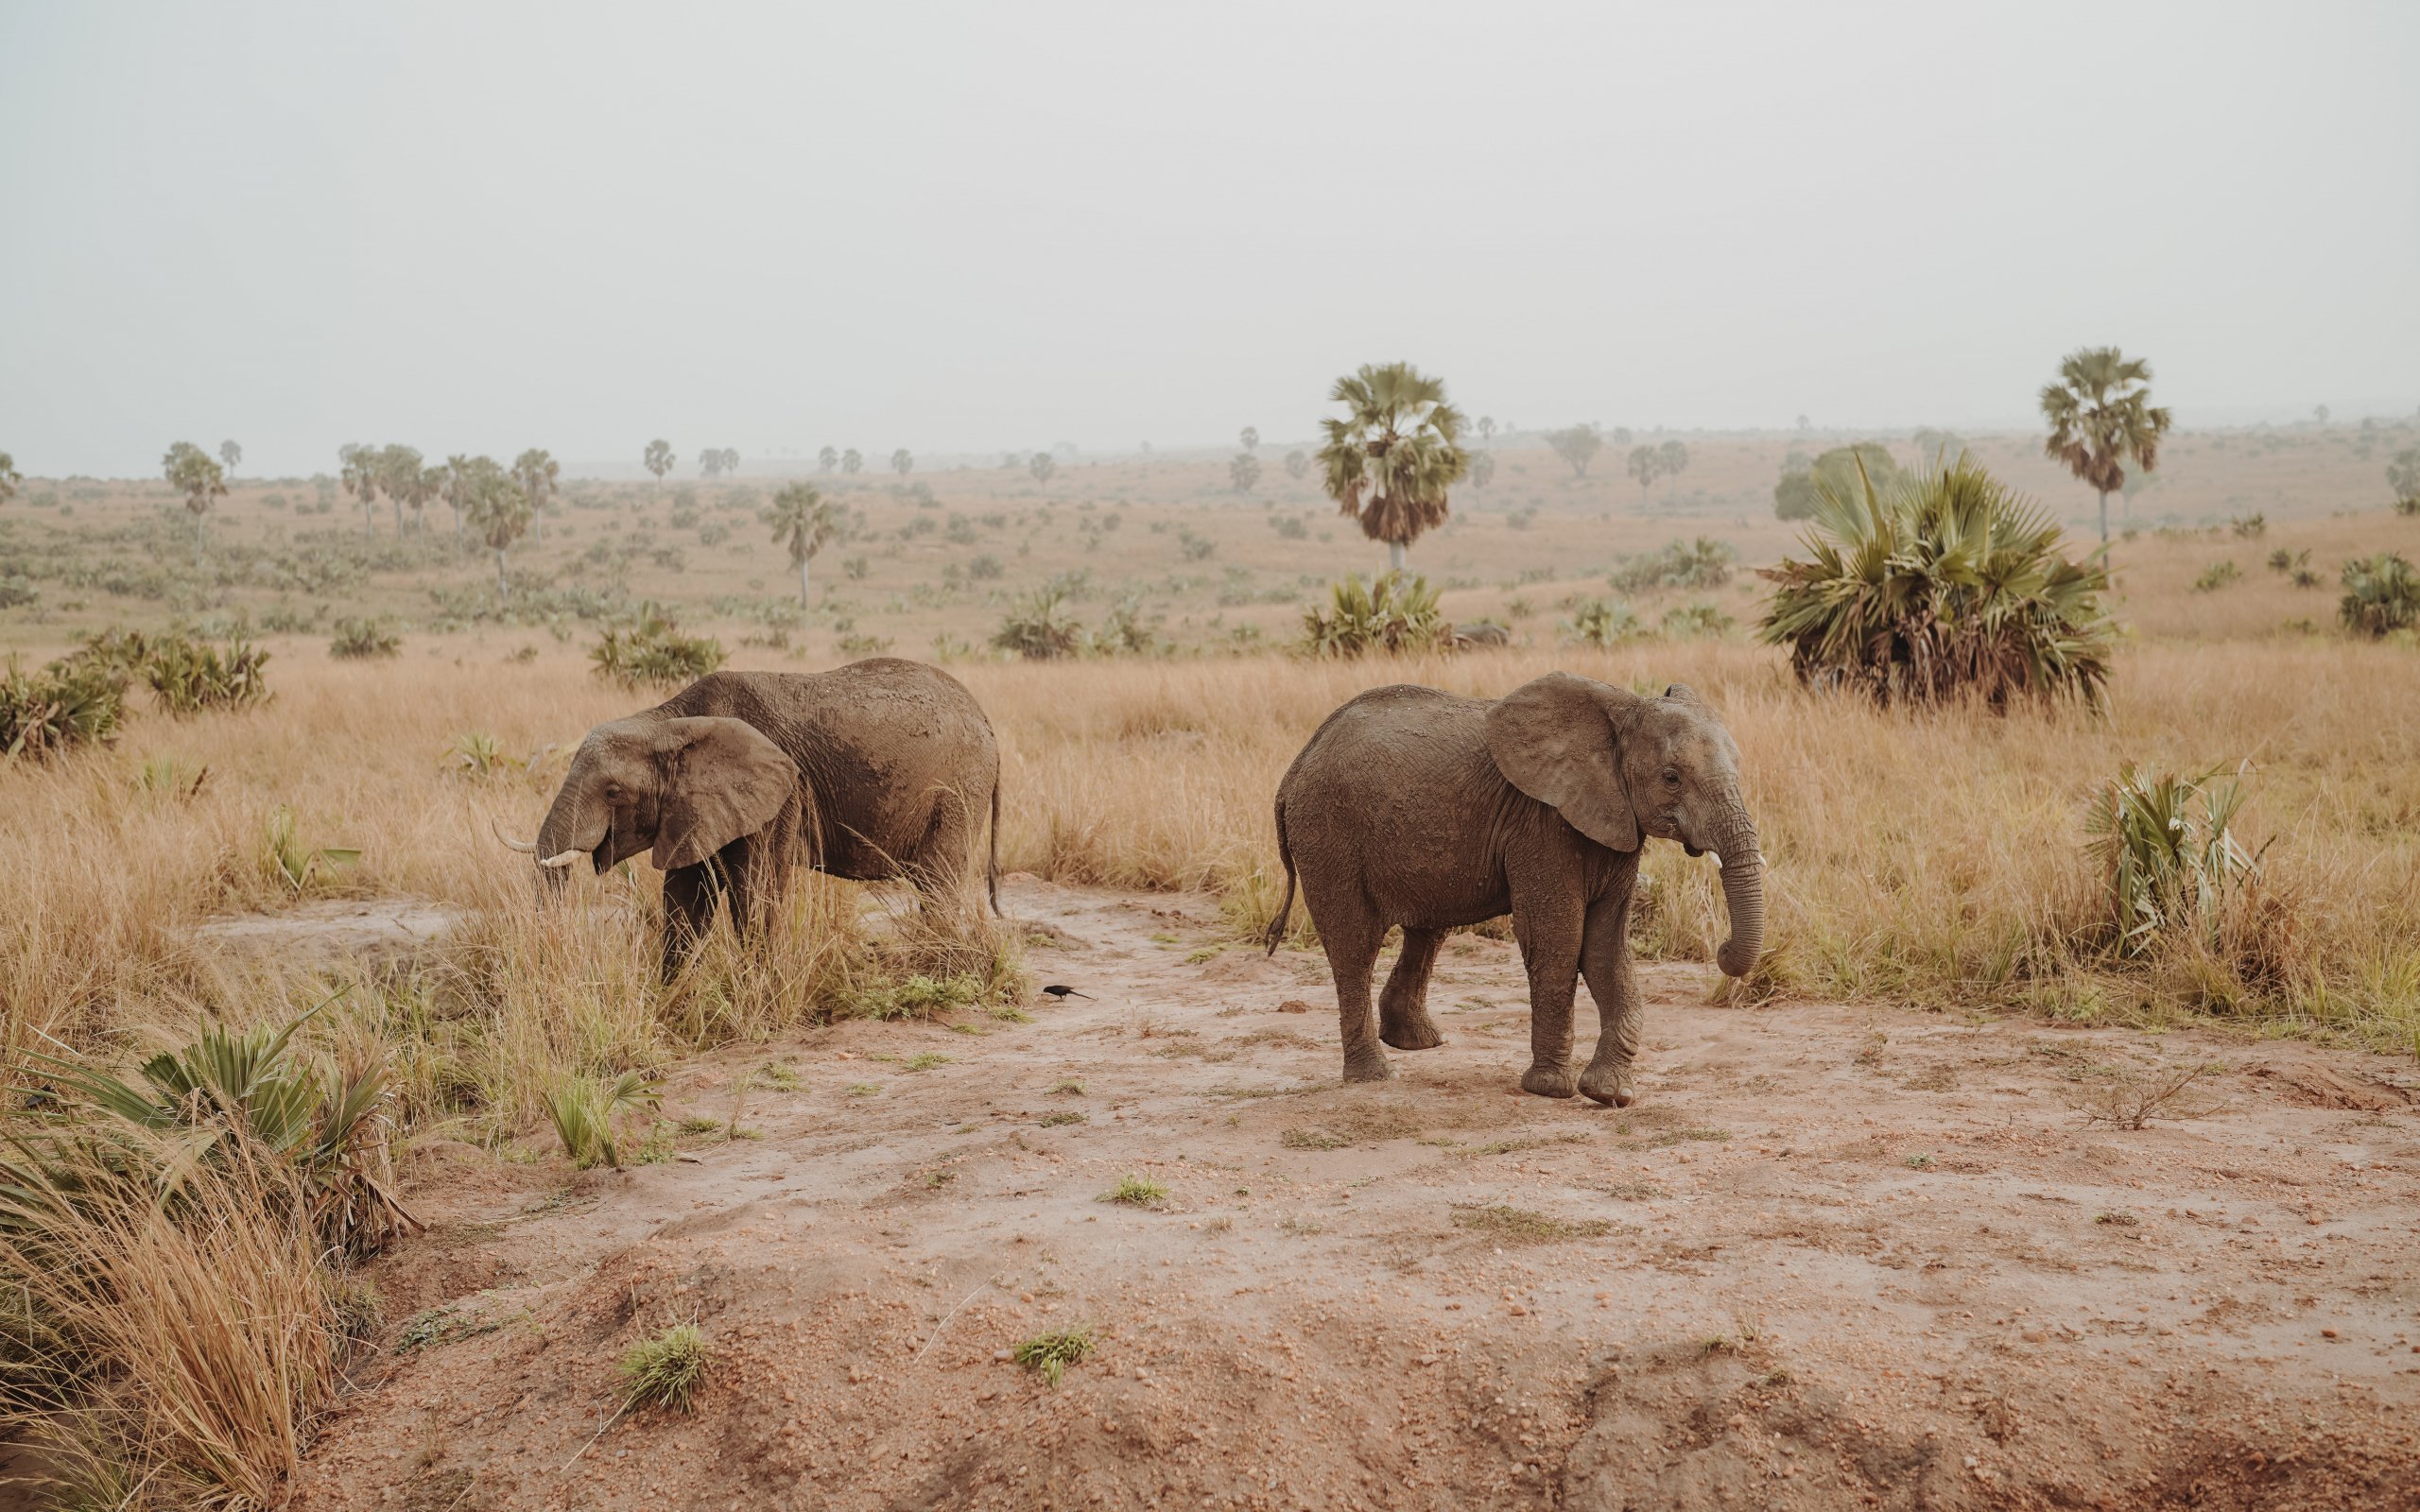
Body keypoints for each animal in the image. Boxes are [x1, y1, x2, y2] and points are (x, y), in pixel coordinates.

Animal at [500, 662, 1001, 977]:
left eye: (612, 792)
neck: (669, 723)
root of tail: (986, 719)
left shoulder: (778, 798)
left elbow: (754, 893)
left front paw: (760, 991)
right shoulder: (694, 807)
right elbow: (687, 900)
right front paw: (672, 1002)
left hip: (959, 788)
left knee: (937, 882)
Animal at [1268, 677, 1761, 1103]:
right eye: (1672, 777)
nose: (1721, 949)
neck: (1621, 709)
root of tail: (1294, 768)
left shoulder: (1616, 823)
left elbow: (1606, 947)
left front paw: (1609, 1094)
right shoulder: (1542, 822)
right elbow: (1558, 939)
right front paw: (1552, 1090)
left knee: (1427, 931)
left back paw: (1418, 1043)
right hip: (1328, 833)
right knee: (1354, 946)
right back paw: (1375, 1076)